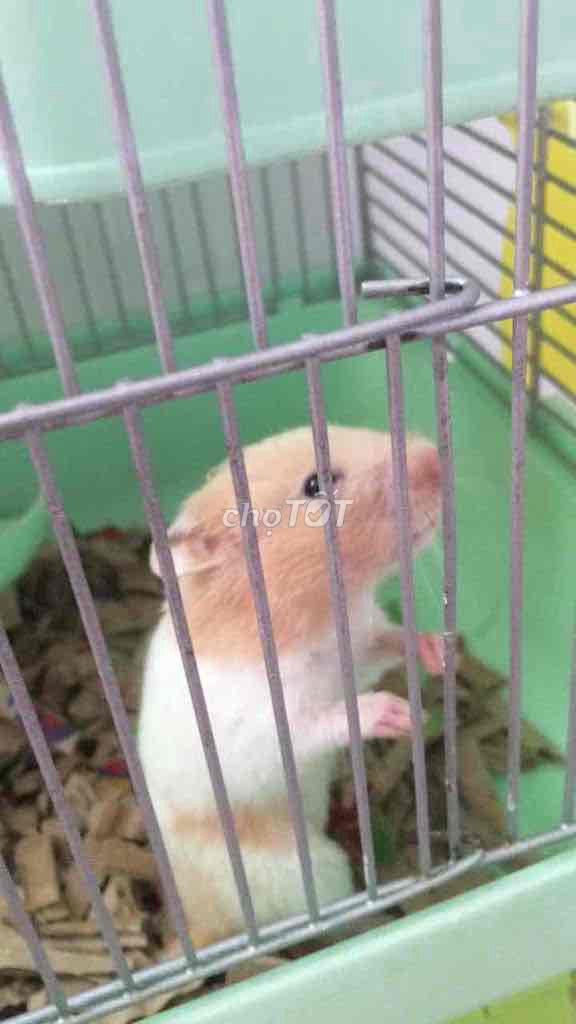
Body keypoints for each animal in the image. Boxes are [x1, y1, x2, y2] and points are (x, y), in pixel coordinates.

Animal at [138, 425, 442, 949]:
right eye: (315, 485)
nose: (440, 460)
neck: (320, 614)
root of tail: (201, 930)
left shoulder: (360, 644)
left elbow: (390, 641)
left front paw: (439, 650)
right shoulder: (264, 724)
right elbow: (326, 719)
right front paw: (398, 714)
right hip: (313, 872)